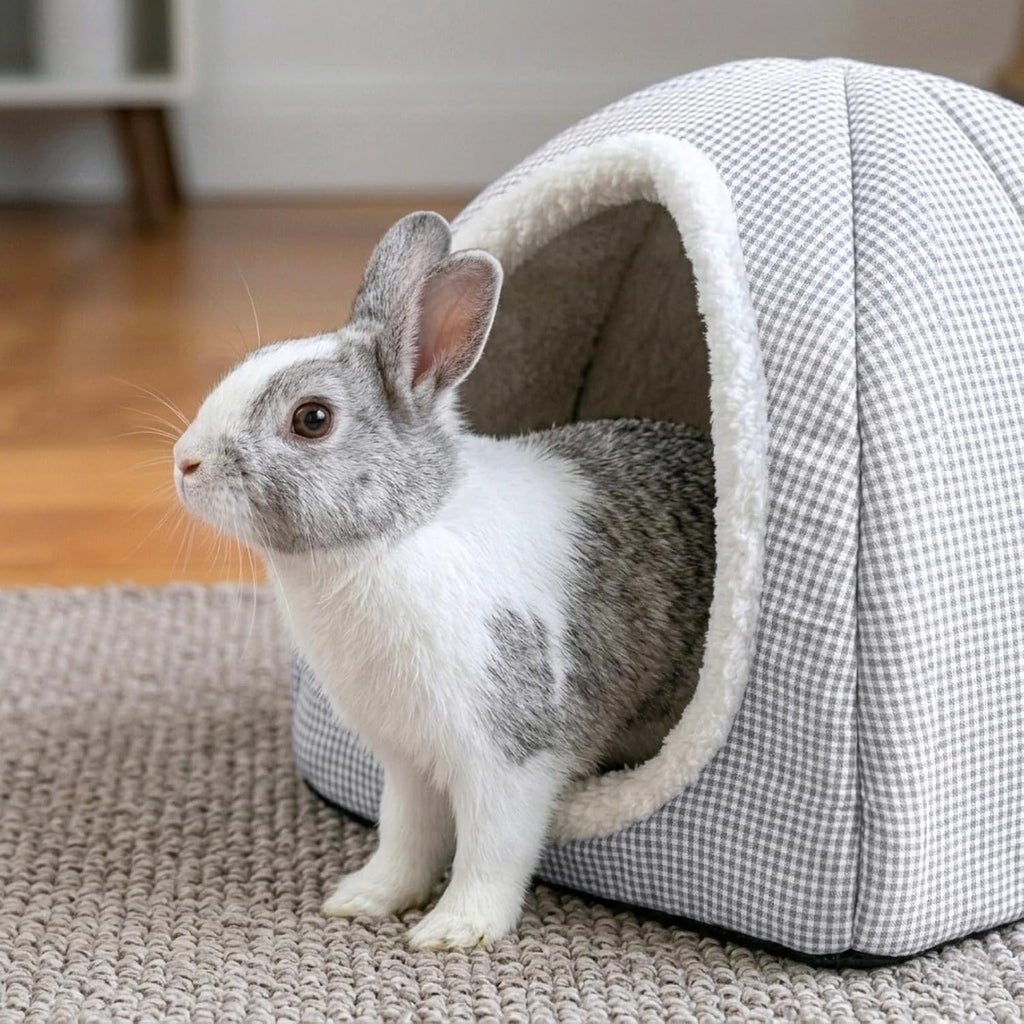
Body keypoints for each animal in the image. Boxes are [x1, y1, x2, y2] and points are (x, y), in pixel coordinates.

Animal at [173, 211, 715, 950]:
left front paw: (455, 931)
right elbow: (406, 835)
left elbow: (493, 846)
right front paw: (365, 898)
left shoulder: (506, 755)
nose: (184, 462)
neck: (398, 534)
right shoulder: (406, 761)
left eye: (312, 418)